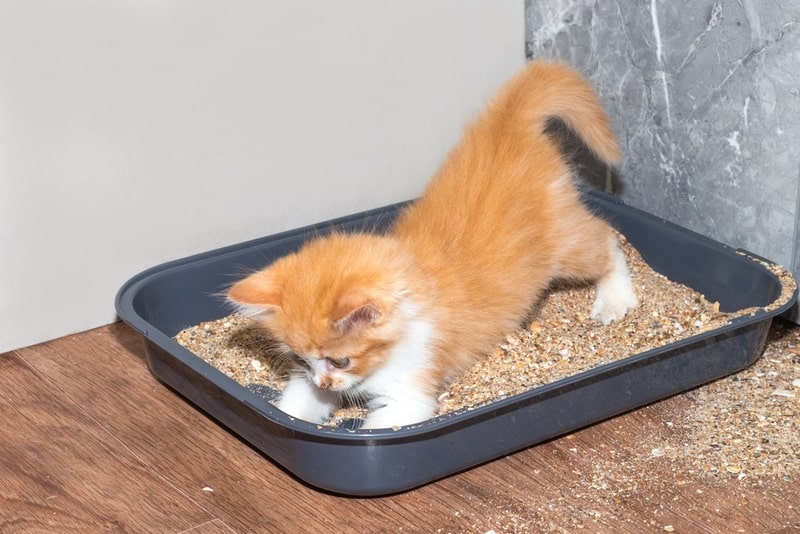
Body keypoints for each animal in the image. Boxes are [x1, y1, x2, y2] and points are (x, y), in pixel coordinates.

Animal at [227, 60, 636, 432]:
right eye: (301, 359)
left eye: (341, 361)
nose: (324, 383)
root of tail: (507, 126)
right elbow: (298, 405)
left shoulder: (410, 389)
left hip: (564, 246)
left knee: (607, 236)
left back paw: (615, 299)